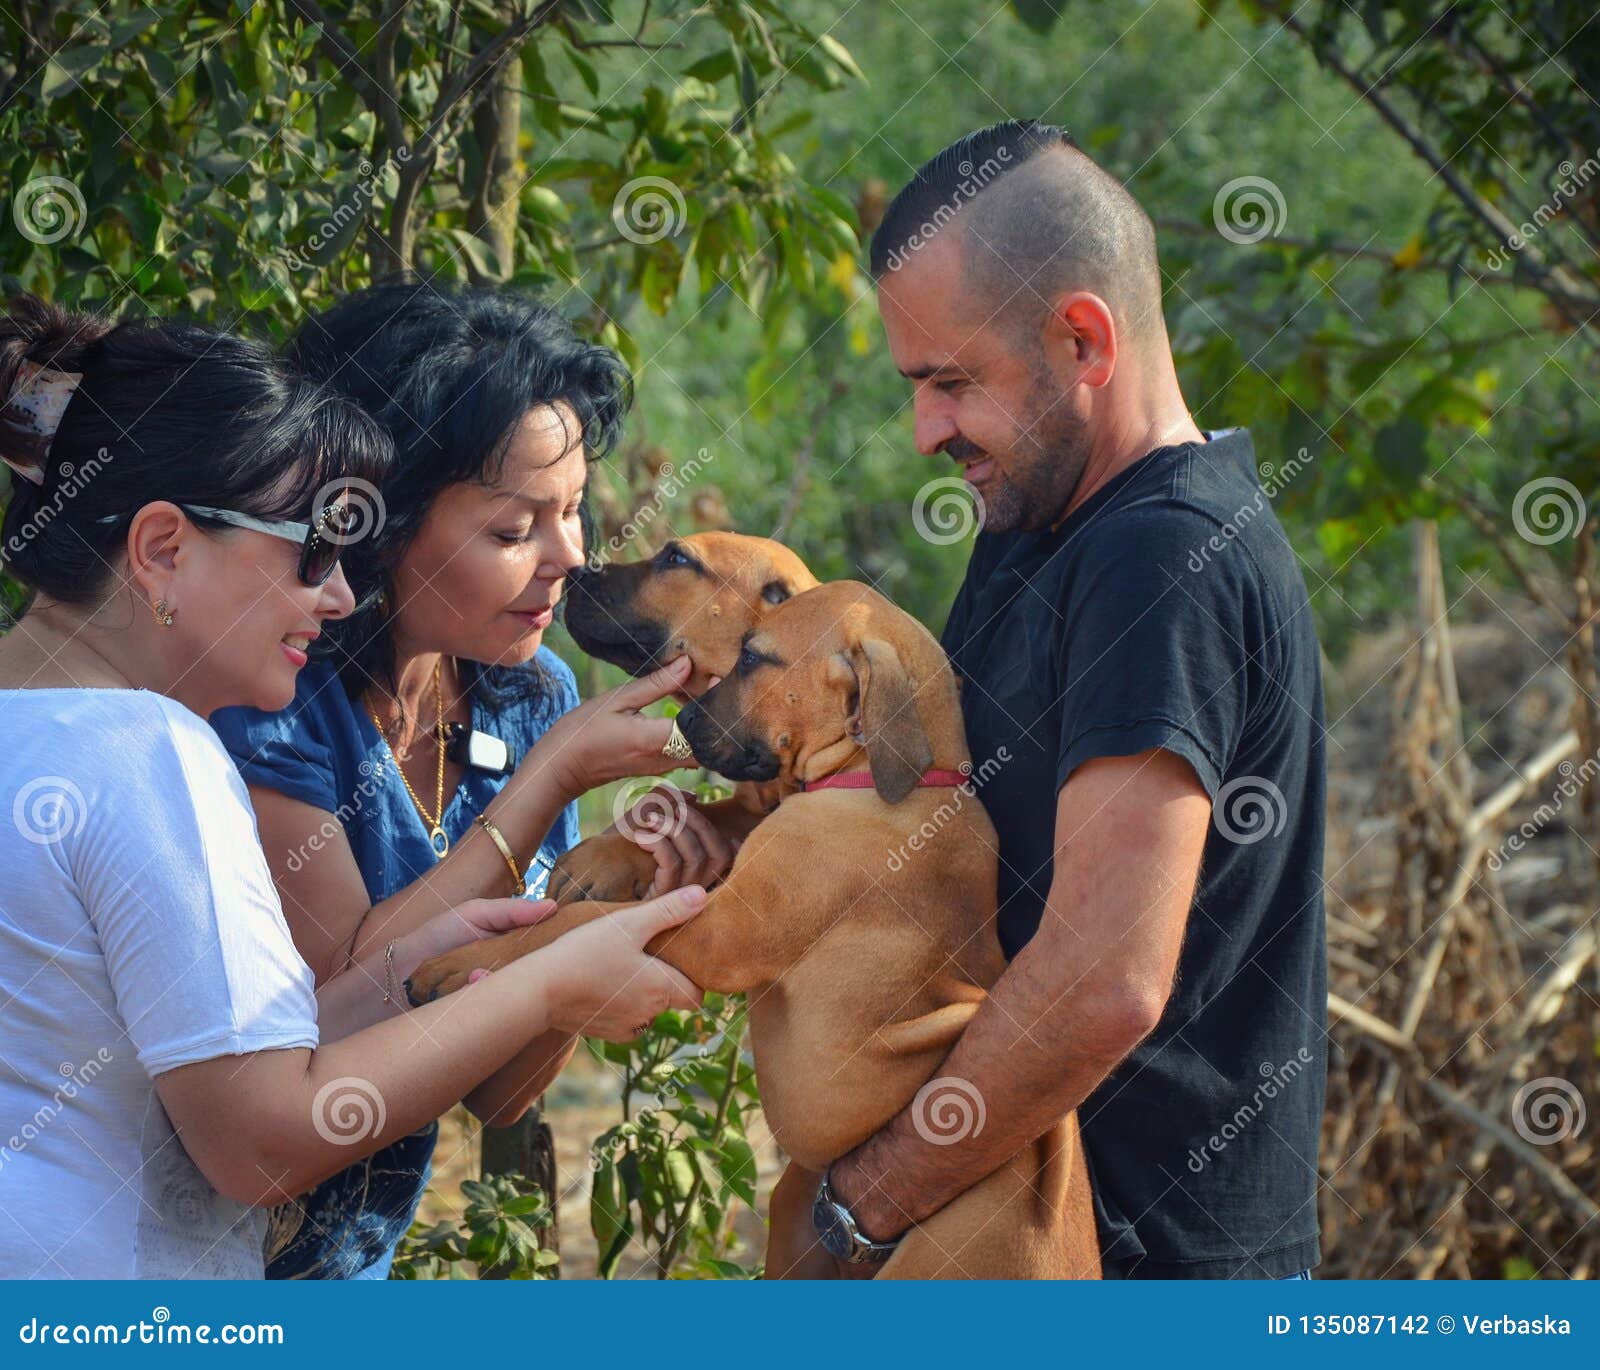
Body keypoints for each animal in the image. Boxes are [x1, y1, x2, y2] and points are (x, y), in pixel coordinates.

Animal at [409, 582, 1100, 1280]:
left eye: (753, 659)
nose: (684, 724)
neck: (887, 781)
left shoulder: (716, 931)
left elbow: (573, 925)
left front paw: (453, 963)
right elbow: (695, 822)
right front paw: (609, 857)